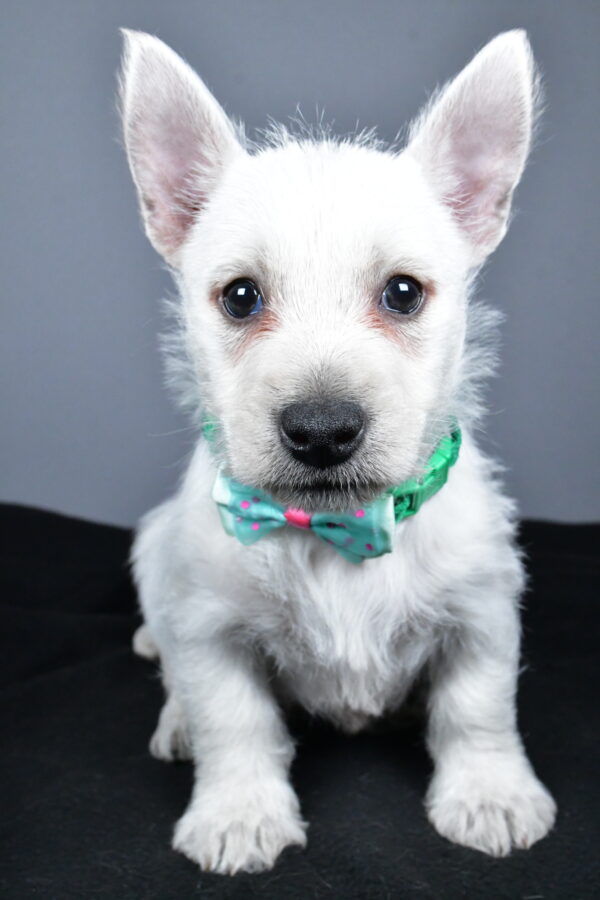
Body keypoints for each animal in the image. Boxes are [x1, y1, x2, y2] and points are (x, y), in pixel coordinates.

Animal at [120, 28, 556, 874]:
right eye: (241, 297)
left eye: (403, 293)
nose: (322, 430)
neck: (338, 532)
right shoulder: (212, 628)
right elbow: (234, 719)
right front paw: (238, 814)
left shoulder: (482, 611)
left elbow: (479, 708)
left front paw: (490, 795)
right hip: (155, 557)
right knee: (178, 676)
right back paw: (177, 723)